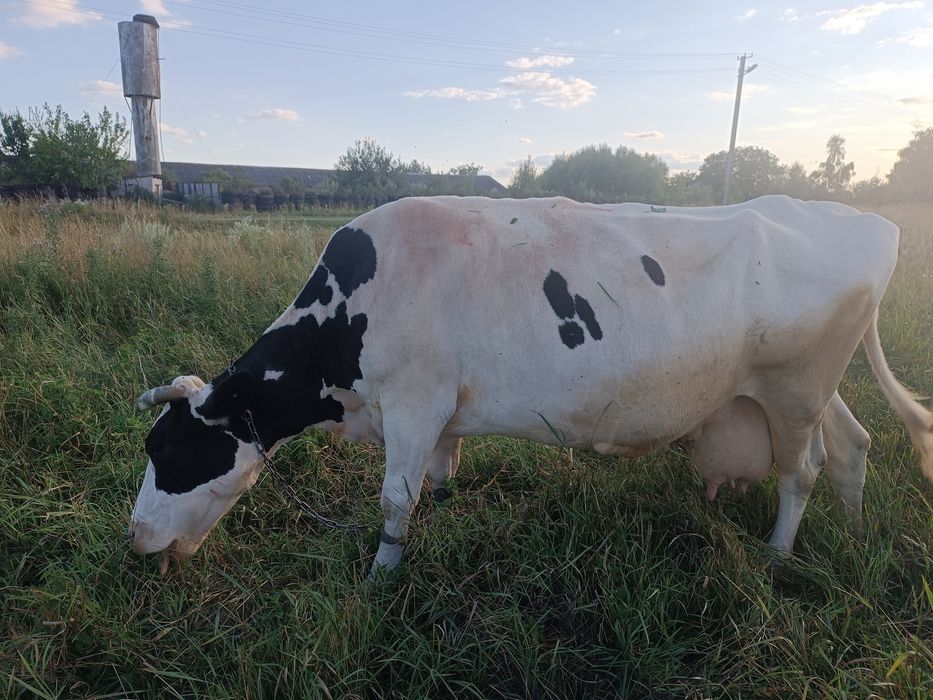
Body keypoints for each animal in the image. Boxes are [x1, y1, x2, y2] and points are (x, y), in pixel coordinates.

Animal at [130, 195, 933, 577]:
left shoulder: (414, 402)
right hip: (804, 389)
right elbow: (440, 477)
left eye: (169, 453)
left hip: (794, 390)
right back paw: (851, 531)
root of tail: (866, 221)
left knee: (802, 471)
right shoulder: (442, 411)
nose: (135, 539)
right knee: (852, 443)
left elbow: (394, 499)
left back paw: (777, 555)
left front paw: (382, 575)